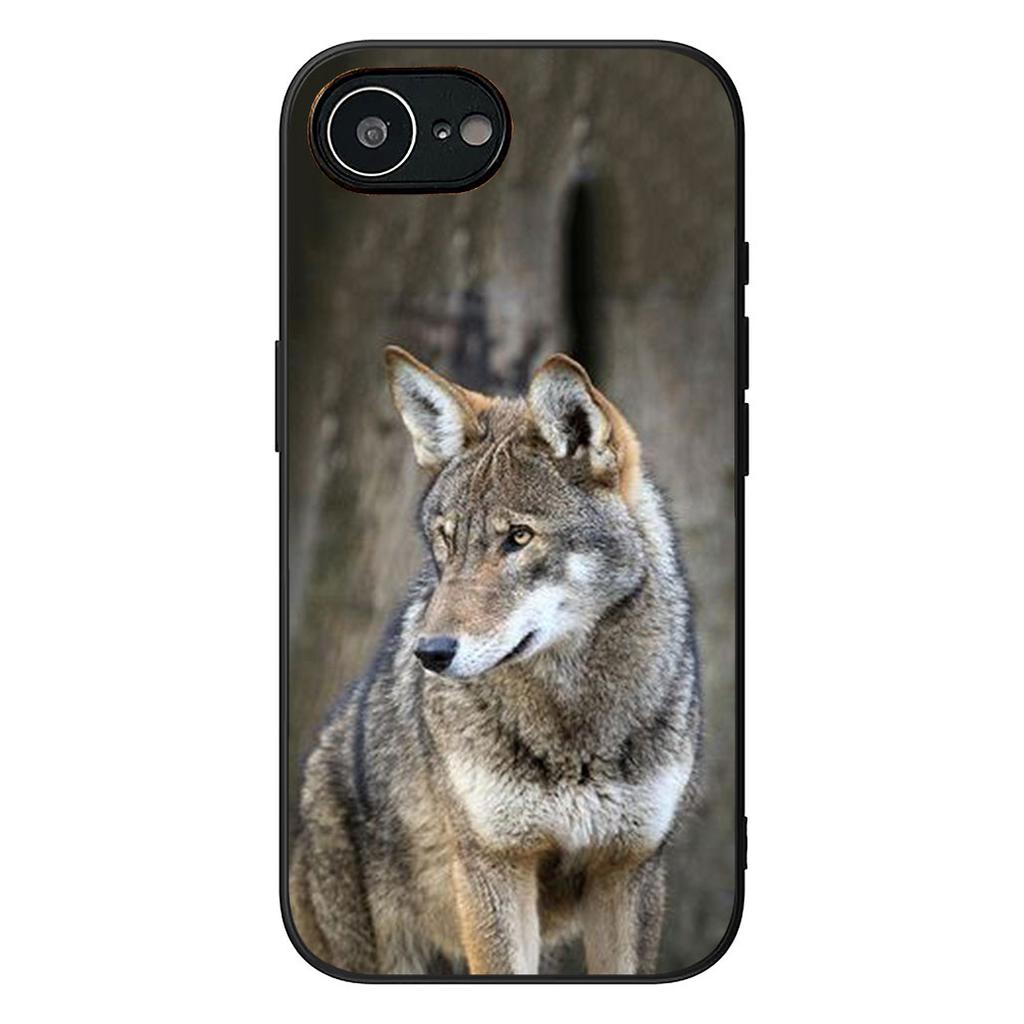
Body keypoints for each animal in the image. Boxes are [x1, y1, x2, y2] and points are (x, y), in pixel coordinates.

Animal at [288, 346, 701, 976]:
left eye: (519, 538)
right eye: (445, 540)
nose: (430, 653)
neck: (573, 728)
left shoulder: (629, 871)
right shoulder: (494, 867)